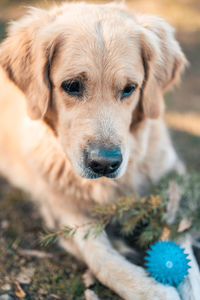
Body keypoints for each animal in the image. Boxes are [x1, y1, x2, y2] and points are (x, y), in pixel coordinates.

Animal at [0, 2, 198, 300]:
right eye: (72, 86)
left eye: (129, 89)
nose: (105, 164)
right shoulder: (62, 210)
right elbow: (102, 259)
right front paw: (152, 290)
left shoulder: (173, 182)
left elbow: (183, 244)